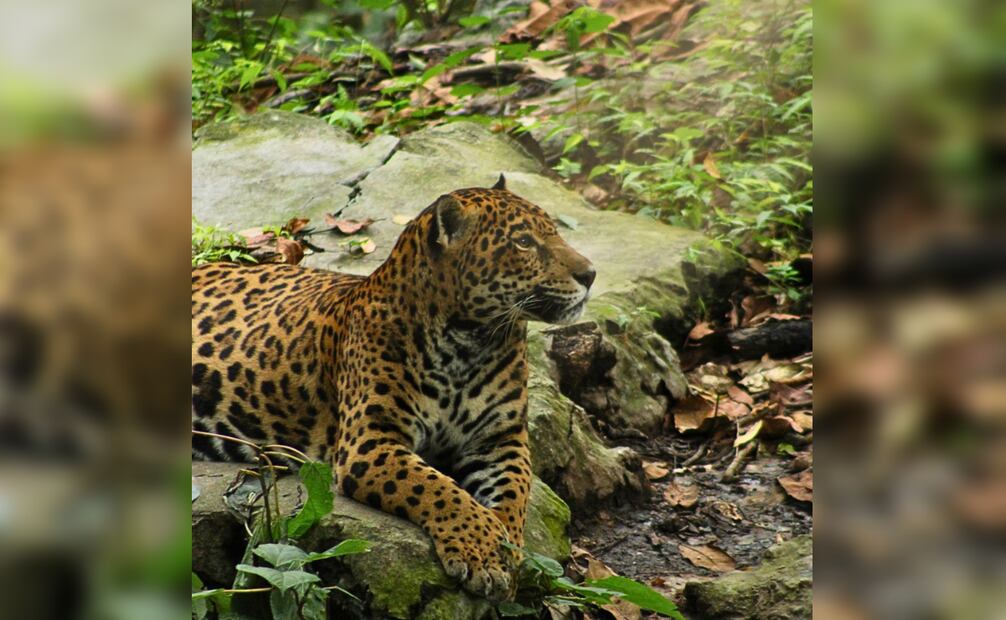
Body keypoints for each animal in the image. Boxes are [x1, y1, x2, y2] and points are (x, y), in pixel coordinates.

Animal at [191, 175, 595, 601]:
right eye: (523, 242)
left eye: (552, 232)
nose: (591, 274)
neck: (470, 342)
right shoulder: (369, 442)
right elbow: (437, 489)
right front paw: (481, 548)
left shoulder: (500, 438)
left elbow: (515, 492)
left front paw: (504, 546)